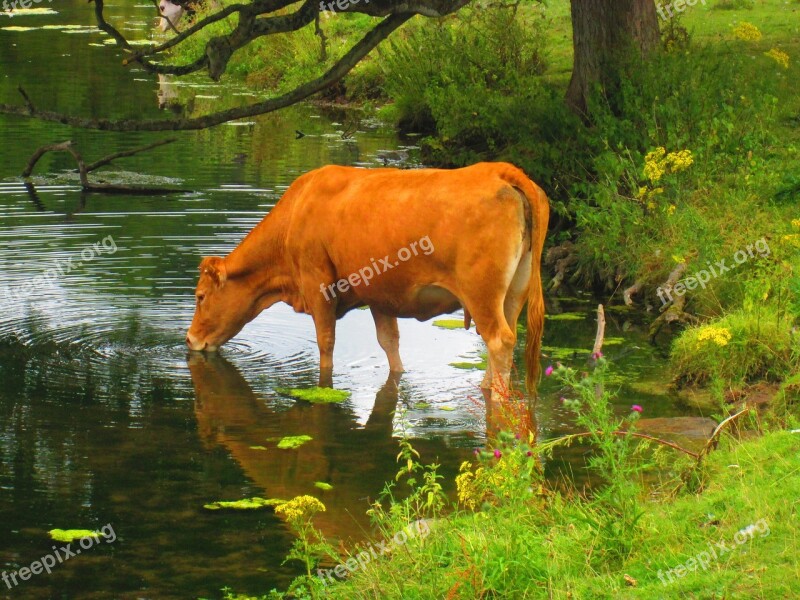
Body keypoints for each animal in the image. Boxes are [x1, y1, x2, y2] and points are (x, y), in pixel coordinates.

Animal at [188, 163, 552, 398]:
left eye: (200, 296)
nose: (190, 340)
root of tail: (498, 170)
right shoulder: (380, 295)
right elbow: (389, 343)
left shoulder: (318, 284)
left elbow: (326, 344)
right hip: (514, 291)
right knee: (506, 337)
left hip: (481, 294)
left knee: (499, 341)